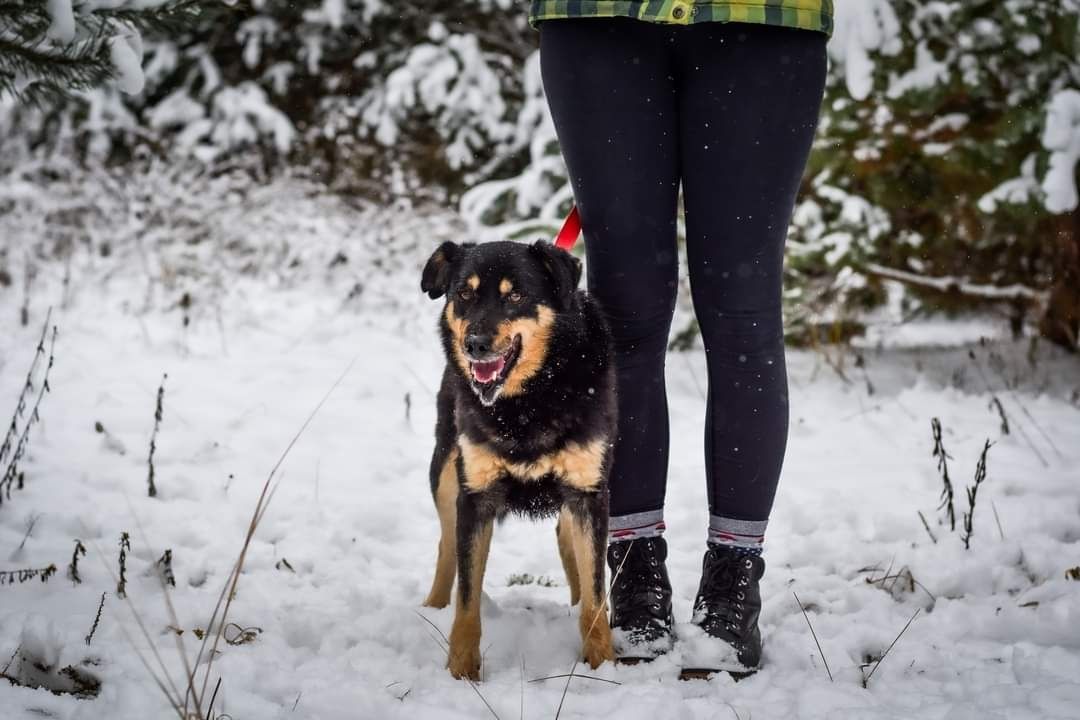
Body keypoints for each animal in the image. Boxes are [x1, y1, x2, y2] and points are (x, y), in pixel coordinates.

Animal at [419, 237, 617, 682]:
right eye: (464, 294)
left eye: (516, 296)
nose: (475, 345)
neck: (529, 400)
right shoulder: (475, 496)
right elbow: (467, 600)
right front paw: (462, 673)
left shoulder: (588, 493)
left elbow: (596, 597)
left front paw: (603, 667)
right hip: (445, 472)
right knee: (445, 545)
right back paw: (431, 609)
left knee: (568, 546)